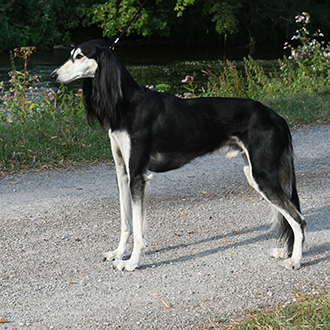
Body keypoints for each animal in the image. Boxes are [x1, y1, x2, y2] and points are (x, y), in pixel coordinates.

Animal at [50, 39, 306, 270]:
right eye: (71, 54)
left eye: (79, 56)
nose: (52, 75)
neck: (126, 105)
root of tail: (277, 117)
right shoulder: (123, 173)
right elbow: (126, 222)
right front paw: (118, 253)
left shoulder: (138, 176)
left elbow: (137, 227)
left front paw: (131, 262)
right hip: (255, 174)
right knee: (288, 216)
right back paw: (286, 253)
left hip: (263, 176)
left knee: (298, 219)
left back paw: (295, 260)